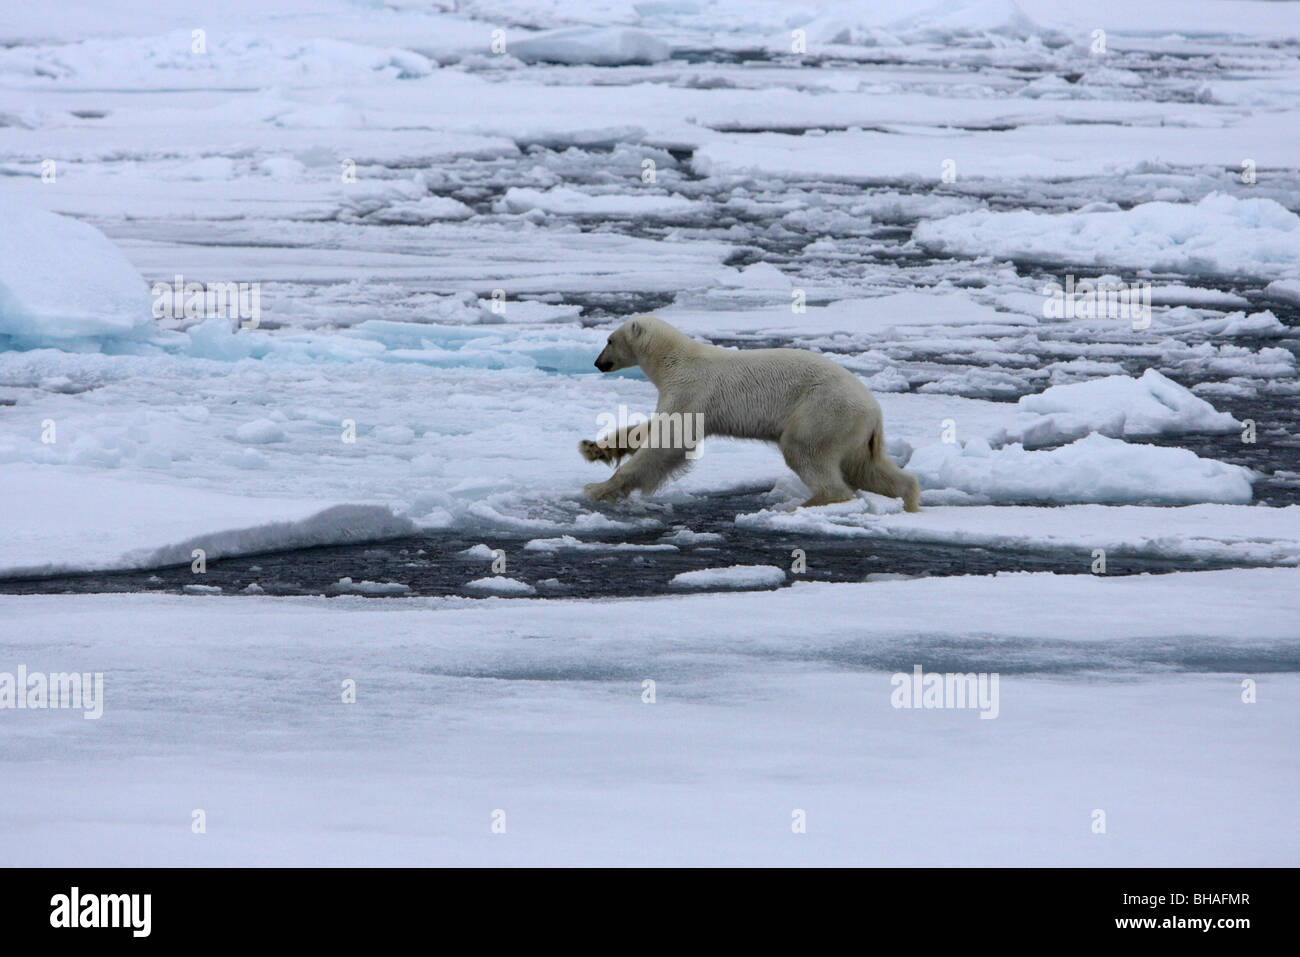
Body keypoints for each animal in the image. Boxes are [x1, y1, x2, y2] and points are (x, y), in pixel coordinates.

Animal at [579, 315, 925, 512]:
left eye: (609, 339)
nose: (597, 362)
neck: (673, 360)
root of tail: (875, 410)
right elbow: (653, 428)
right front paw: (593, 448)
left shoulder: (692, 388)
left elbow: (669, 442)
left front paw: (596, 489)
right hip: (852, 431)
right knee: (866, 468)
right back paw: (908, 497)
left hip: (822, 411)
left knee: (805, 451)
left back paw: (801, 505)